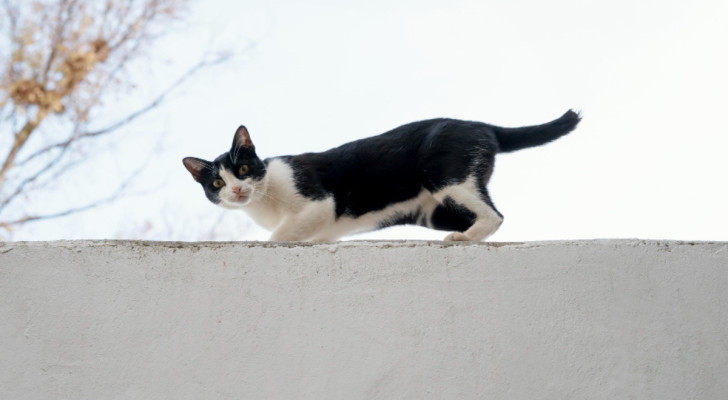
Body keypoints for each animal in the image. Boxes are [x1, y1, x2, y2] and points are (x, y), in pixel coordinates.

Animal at [183, 109, 580, 241]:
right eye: (217, 183)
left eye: (243, 169)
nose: (236, 191)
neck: (265, 202)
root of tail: (481, 125)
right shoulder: (324, 230)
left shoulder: (319, 203)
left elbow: (279, 236)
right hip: (435, 210)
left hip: (445, 173)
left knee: (496, 215)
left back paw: (464, 239)